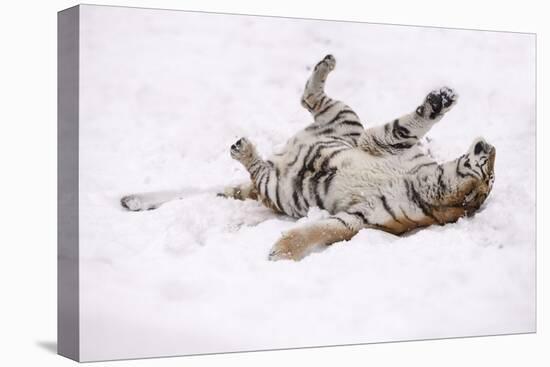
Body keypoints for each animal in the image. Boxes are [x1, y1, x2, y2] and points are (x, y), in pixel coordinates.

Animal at [122, 54, 500, 262]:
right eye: (491, 168)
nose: (490, 147)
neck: (428, 181)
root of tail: (284, 154)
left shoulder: (358, 220)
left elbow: (319, 230)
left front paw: (279, 252)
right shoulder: (384, 141)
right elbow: (410, 124)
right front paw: (440, 100)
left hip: (279, 188)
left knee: (262, 165)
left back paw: (244, 149)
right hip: (345, 121)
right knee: (310, 98)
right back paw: (326, 64)